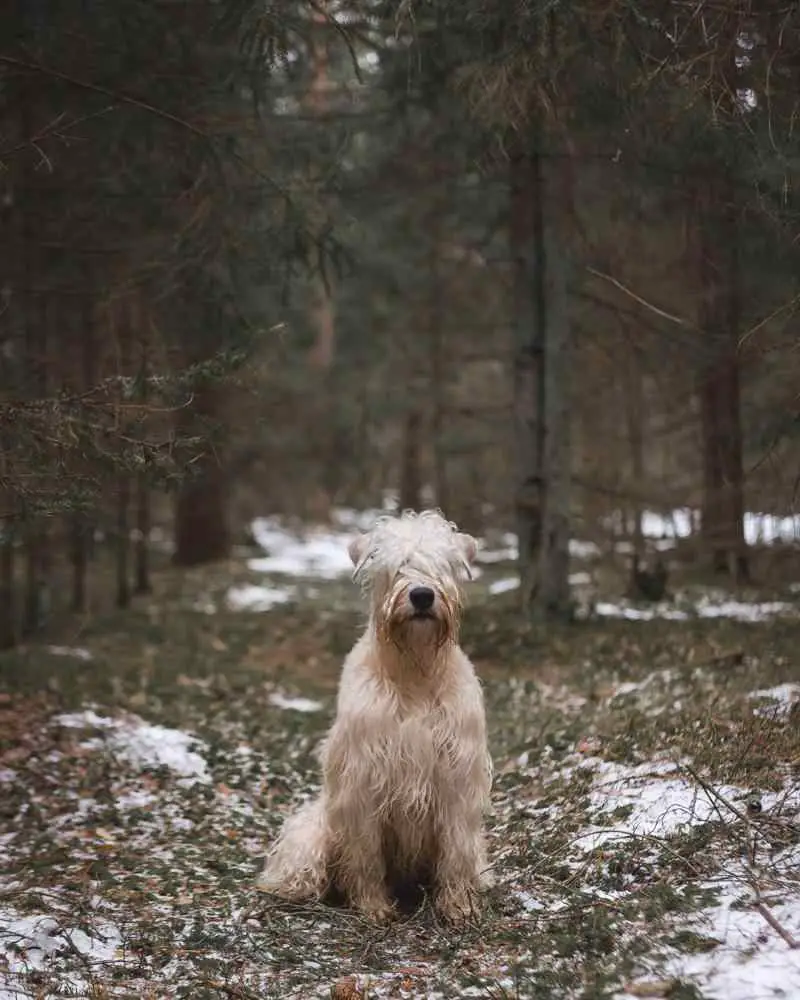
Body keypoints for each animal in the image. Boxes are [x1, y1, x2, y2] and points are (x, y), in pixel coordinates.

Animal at [258, 512, 494, 924]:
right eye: (396, 566)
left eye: (442, 565)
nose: (422, 595)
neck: (415, 672)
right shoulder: (364, 777)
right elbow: (365, 853)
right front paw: (373, 906)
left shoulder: (457, 778)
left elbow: (456, 849)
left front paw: (457, 906)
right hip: (314, 833)